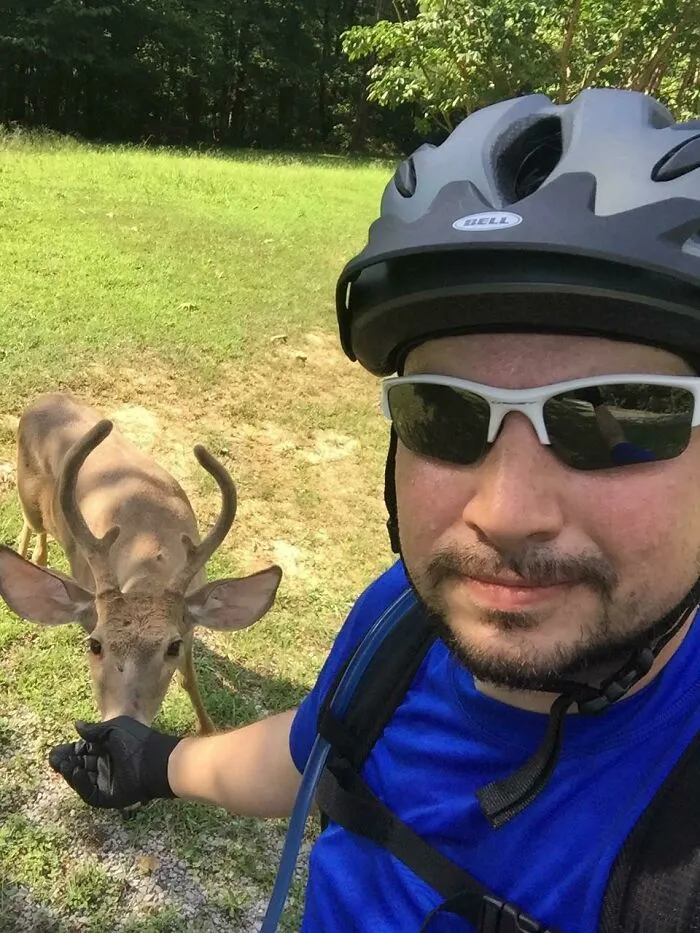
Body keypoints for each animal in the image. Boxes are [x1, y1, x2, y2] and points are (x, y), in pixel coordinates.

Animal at [0, 393, 282, 734]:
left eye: (172, 646)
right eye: (95, 644)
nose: (121, 725)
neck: (149, 555)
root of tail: (43, 399)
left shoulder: (189, 624)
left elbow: (189, 679)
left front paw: (207, 729)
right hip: (27, 495)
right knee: (32, 525)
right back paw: (25, 552)